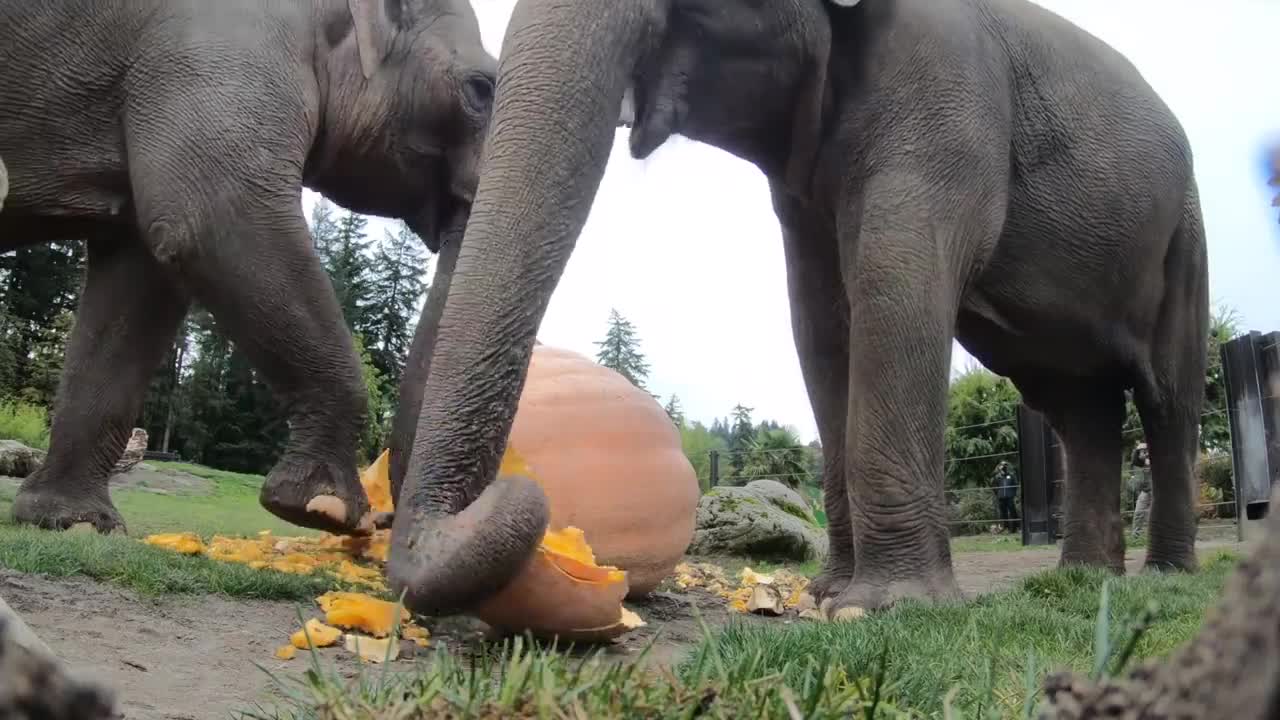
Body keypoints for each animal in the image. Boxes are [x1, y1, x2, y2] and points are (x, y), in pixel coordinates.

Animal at [1, 0, 494, 535]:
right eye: (482, 89)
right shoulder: (211, 53)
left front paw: (76, 524)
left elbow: (138, 283)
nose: (381, 524)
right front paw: (322, 508)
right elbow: (216, 219)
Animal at [381, 0, 1208, 617]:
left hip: (1184, 238)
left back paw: (1165, 578)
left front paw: (883, 608)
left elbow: (894, 282)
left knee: (1166, 399)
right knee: (1079, 408)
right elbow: (819, 321)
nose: (524, 492)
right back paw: (1084, 580)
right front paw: (828, 596)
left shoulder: (946, 94)